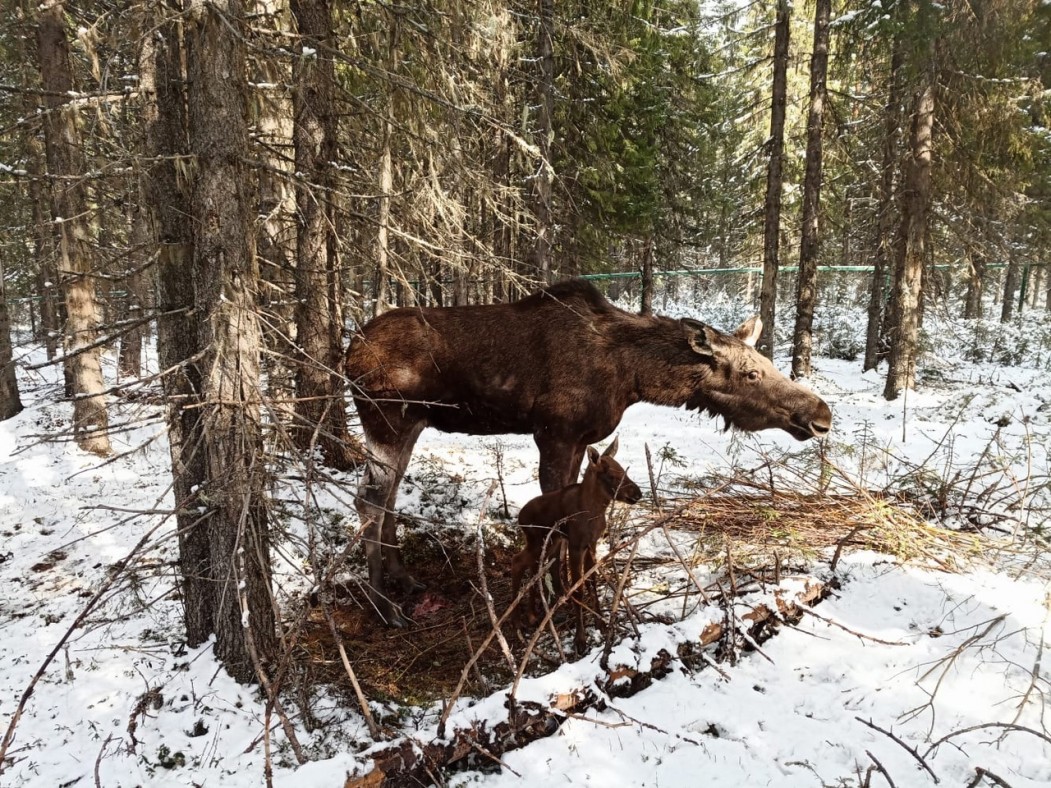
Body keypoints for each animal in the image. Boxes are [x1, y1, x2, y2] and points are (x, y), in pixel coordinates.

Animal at [344, 281, 828, 626]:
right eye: (750, 373)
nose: (821, 415)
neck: (633, 377)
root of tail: (349, 351)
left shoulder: (578, 441)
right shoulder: (554, 434)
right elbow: (553, 521)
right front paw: (551, 599)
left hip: (414, 423)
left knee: (389, 496)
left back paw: (404, 578)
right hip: (387, 418)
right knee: (368, 498)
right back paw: (383, 606)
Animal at [508, 441, 639, 655]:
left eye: (622, 469)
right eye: (611, 475)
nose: (637, 493)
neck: (595, 511)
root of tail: (519, 517)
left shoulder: (591, 544)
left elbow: (592, 581)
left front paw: (601, 623)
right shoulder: (576, 544)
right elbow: (578, 589)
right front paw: (580, 639)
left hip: (550, 542)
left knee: (532, 566)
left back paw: (533, 615)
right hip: (538, 540)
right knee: (517, 561)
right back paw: (517, 622)